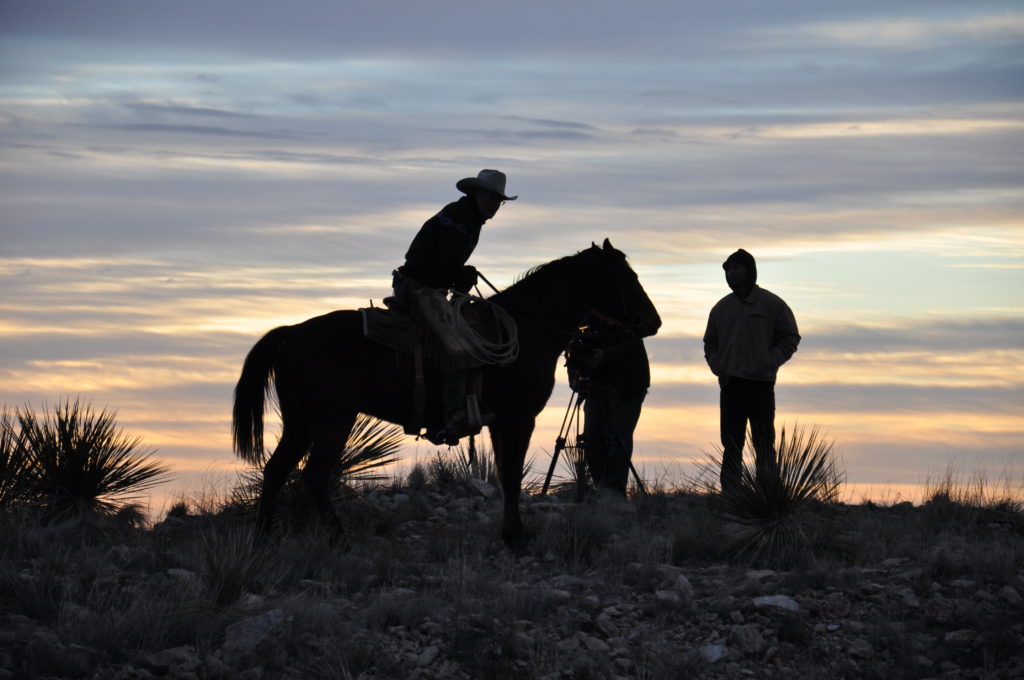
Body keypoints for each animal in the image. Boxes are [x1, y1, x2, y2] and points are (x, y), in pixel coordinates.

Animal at [233, 238, 663, 548]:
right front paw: (517, 538)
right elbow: (510, 475)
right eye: (628, 277)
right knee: (316, 476)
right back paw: (340, 540)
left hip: (300, 423)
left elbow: (506, 476)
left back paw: (262, 539)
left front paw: (511, 534)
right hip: (332, 421)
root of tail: (291, 332)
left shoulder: (500, 422)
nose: (653, 322)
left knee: (276, 471)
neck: (526, 329)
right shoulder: (518, 418)